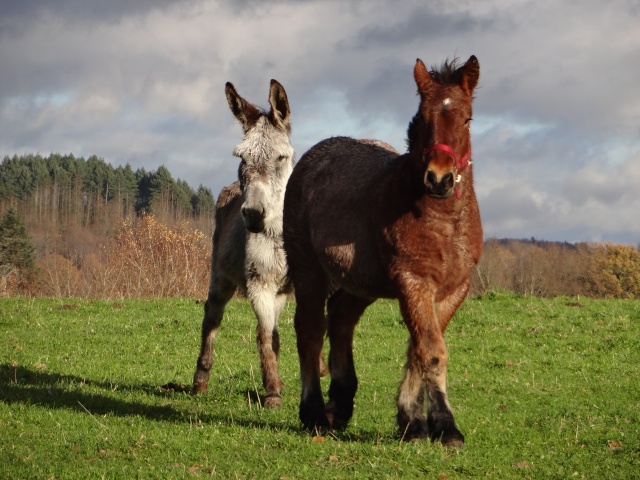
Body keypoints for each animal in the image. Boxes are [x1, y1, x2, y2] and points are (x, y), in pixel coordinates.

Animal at [282, 55, 482, 446]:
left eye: (467, 118)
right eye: (423, 118)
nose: (439, 178)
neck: (442, 220)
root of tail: (311, 159)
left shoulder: (453, 289)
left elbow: (418, 349)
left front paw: (412, 421)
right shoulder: (413, 281)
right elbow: (431, 351)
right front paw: (444, 425)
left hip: (362, 283)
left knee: (341, 317)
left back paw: (340, 403)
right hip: (309, 270)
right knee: (309, 330)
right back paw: (314, 413)